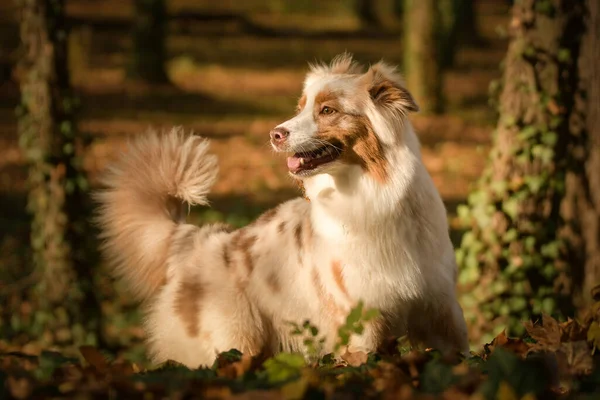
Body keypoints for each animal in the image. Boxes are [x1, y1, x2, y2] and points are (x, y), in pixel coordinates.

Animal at [95, 54, 468, 368]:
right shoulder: (360, 325)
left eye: (327, 110)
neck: (372, 195)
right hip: (232, 345)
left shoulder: (442, 311)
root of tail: (195, 241)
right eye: (299, 108)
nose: (275, 134)